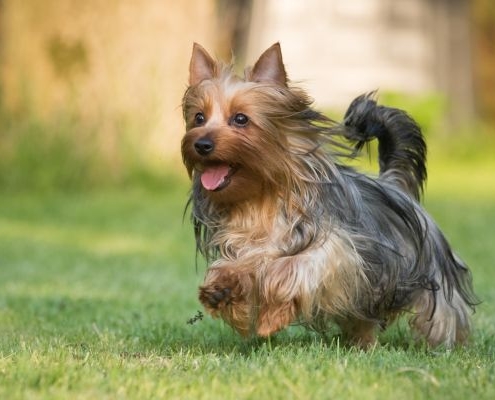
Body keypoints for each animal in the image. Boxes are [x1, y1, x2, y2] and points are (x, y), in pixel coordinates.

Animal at [180, 41, 478, 346]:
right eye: (199, 118)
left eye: (240, 119)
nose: (201, 144)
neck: (262, 198)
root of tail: (394, 183)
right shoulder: (249, 246)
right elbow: (238, 266)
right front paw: (222, 288)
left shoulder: (338, 251)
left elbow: (290, 268)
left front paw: (271, 315)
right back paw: (361, 343)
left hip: (431, 273)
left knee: (443, 313)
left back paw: (446, 344)